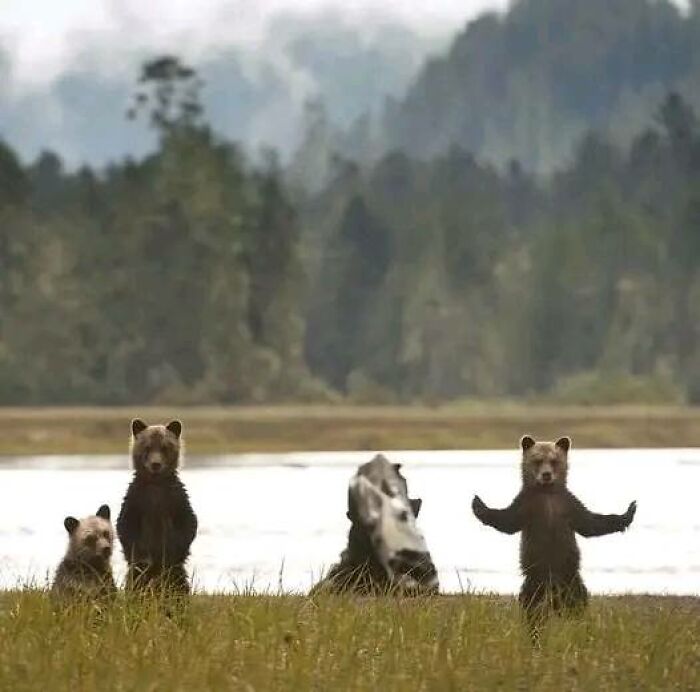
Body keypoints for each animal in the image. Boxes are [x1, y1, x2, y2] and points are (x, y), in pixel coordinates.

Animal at [116, 418, 198, 595]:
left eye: (165, 447)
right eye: (147, 447)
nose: (155, 464)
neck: (156, 483)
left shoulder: (175, 499)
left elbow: (188, 524)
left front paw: (171, 553)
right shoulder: (137, 499)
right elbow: (126, 527)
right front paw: (143, 558)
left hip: (176, 576)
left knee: (179, 584)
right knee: (135, 582)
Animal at [471, 435, 637, 637]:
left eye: (554, 460)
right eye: (537, 460)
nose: (546, 474)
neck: (547, 493)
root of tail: (555, 599)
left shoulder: (568, 506)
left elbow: (591, 524)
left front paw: (630, 510)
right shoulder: (527, 506)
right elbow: (507, 520)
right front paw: (478, 504)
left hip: (572, 582)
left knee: (578, 606)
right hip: (535, 584)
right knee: (533, 611)